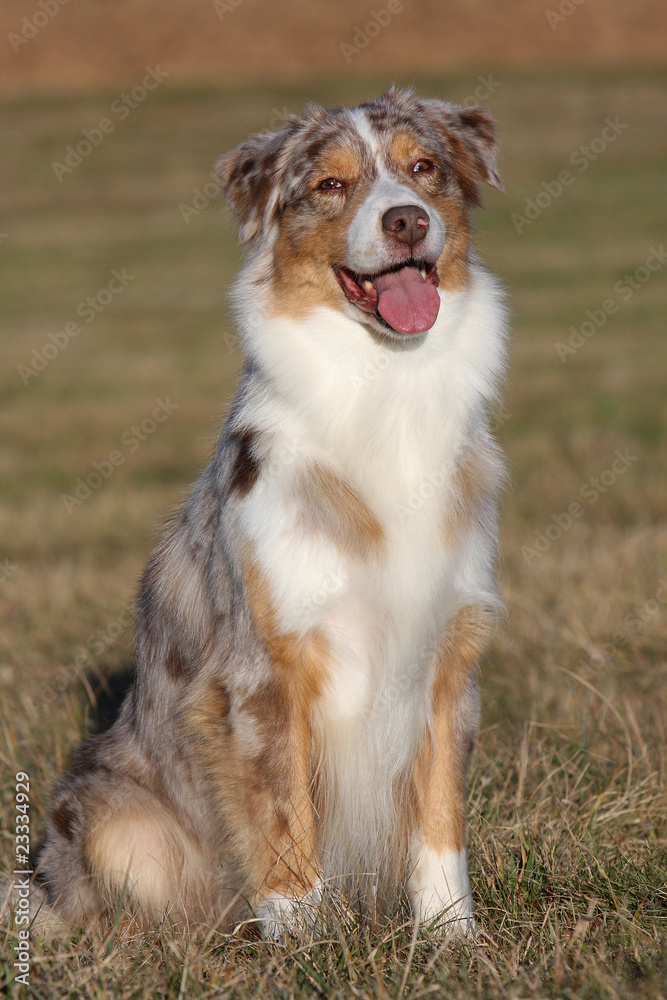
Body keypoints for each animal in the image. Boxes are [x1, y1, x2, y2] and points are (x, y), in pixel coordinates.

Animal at [34, 90, 508, 940]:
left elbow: (439, 814)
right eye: (330, 185)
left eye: (424, 168)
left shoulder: (449, 651)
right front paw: (300, 939)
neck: (384, 388)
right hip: (112, 816)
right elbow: (283, 813)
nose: (407, 220)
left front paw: (452, 937)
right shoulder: (266, 666)